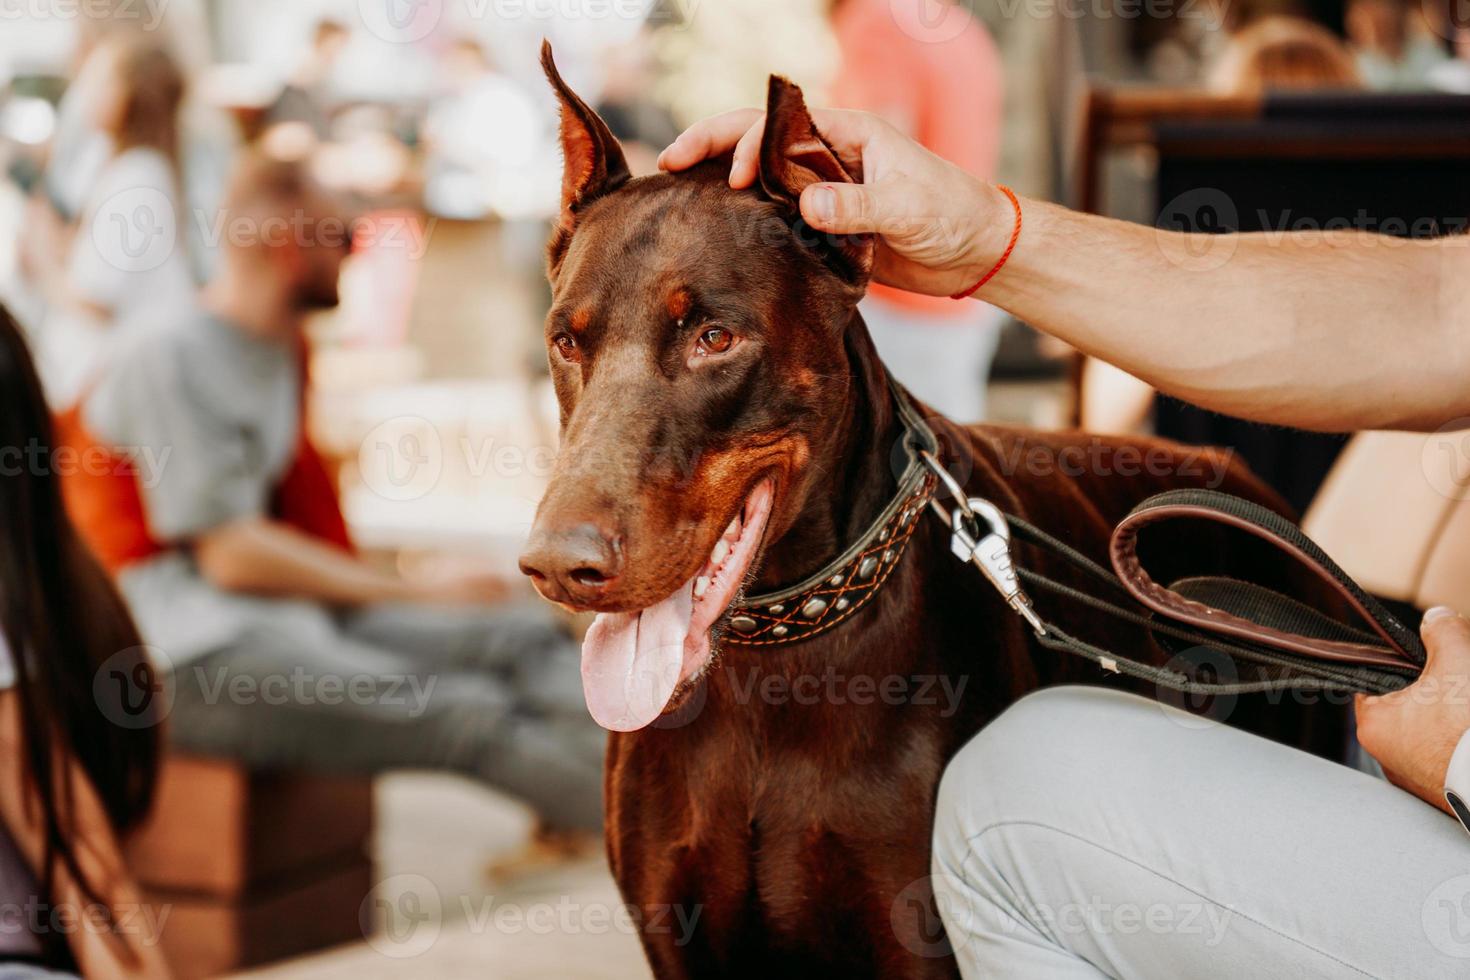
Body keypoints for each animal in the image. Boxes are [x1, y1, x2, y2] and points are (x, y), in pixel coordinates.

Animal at [514, 45, 1346, 980]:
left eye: (714, 339)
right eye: (566, 340)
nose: (558, 565)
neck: (775, 660)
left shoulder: (918, 936)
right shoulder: (680, 941)